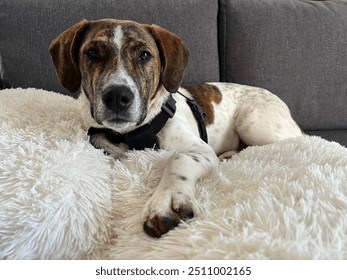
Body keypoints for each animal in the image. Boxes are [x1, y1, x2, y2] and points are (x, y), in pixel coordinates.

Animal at [49, 18, 304, 237]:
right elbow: (104, 143)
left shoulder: (200, 149)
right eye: (92, 52)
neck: (132, 133)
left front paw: (168, 199)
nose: (117, 96)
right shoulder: (98, 136)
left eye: (144, 55)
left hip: (254, 126)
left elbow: (178, 159)